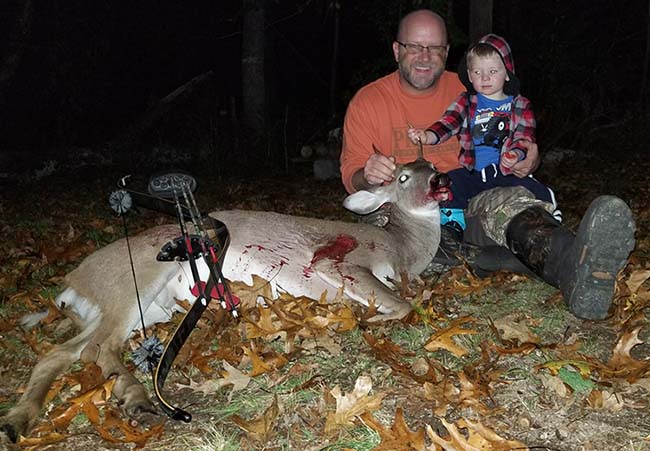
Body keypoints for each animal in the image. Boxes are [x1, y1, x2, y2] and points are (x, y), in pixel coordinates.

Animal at [0, 158, 449, 444]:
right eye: (404, 176)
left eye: (427, 163)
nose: (438, 176)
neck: (403, 249)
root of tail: (71, 283)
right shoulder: (343, 263)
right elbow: (399, 304)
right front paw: (368, 318)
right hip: (138, 279)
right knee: (99, 348)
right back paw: (138, 400)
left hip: (139, 307)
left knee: (64, 352)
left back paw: (19, 419)